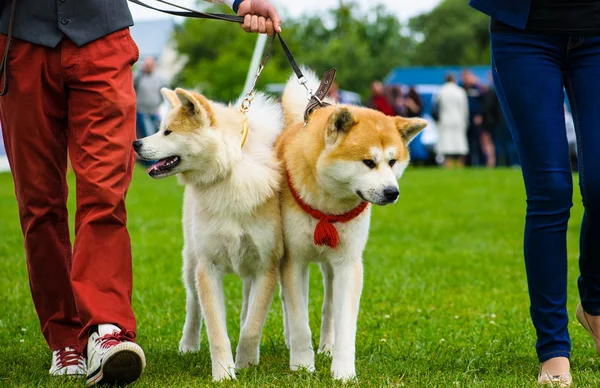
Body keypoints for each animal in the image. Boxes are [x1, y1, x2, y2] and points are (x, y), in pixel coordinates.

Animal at [134, 87, 284, 378]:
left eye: (168, 131)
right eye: (159, 128)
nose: (135, 143)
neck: (229, 174)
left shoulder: (266, 267)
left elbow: (252, 326)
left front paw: (246, 363)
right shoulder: (208, 267)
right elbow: (216, 330)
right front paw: (224, 373)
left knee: (247, 307)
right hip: (192, 263)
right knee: (194, 305)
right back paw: (189, 344)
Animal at [276, 71, 426, 380]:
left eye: (393, 162)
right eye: (368, 162)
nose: (392, 192)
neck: (327, 205)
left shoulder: (348, 263)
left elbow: (345, 323)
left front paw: (343, 371)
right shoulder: (293, 260)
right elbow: (299, 321)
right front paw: (302, 365)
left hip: (332, 265)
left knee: (329, 307)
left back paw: (326, 346)